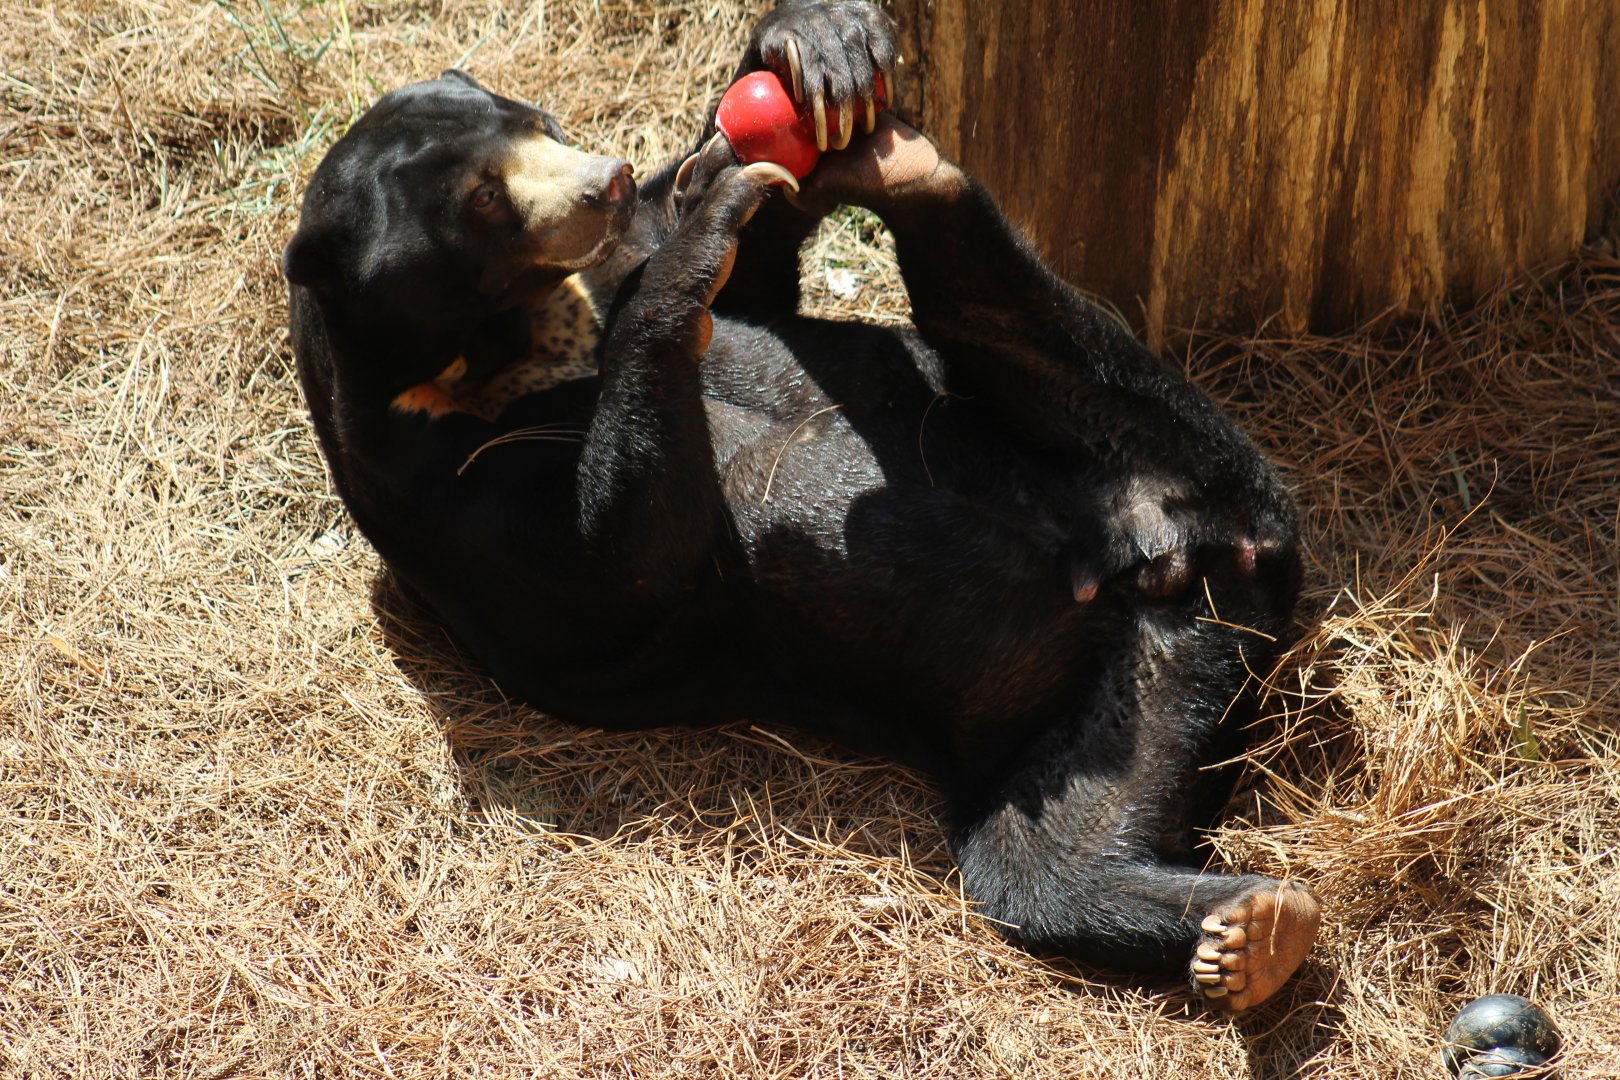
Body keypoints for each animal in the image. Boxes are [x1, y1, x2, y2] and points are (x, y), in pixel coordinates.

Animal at [283, 1, 1319, 1012]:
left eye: (541, 124)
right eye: (485, 202)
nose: (606, 181)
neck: (496, 353)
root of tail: (1185, 558)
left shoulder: (604, 273)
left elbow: (749, 288)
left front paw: (809, 59)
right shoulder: (439, 509)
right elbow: (614, 568)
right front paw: (703, 233)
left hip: (1141, 437)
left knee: (1011, 326)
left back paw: (893, 160)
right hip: (1097, 694)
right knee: (1047, 866)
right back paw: (1251, 933)